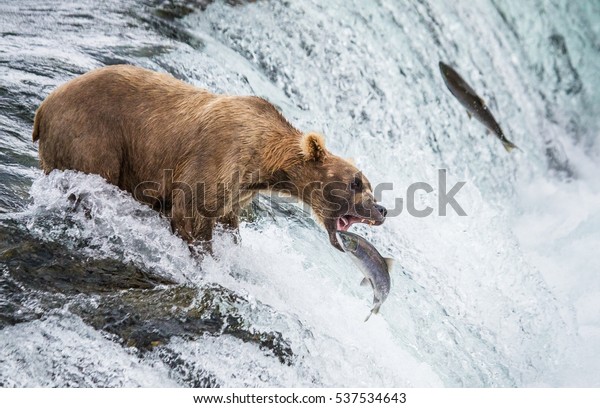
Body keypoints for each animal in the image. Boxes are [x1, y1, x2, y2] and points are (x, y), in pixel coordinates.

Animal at [32, 66, 386, 252]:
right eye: (357, 182)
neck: (265, 161)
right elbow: (192, 213)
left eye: (368, 184)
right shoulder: (218, 157)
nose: (380, 209)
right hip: (94, 138)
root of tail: (43, 107)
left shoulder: (238, 190)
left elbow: (227, 220)